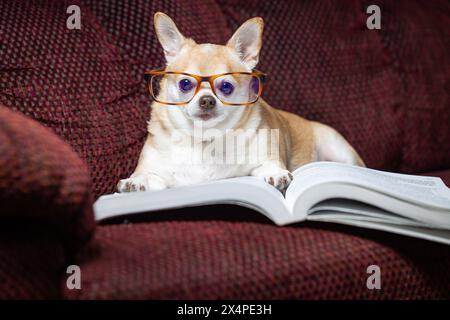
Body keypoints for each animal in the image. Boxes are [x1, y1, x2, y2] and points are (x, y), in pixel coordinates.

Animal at [118, 12, 364, 192]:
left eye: (226, 87)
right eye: (185, 84)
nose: (207, 100)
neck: (204, 140)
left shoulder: (265, 154)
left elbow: (267, 165)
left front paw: (274, 173)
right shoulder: (156, 169)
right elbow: (147, 176)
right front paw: (135, 181)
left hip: (338, 148)